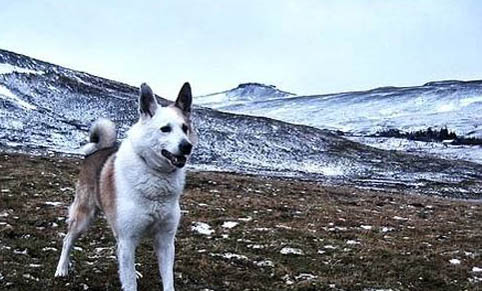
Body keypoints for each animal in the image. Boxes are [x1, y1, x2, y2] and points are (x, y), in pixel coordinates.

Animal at [53, 82, 196, 291]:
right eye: (165, 129)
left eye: (185, 128)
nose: (187, 146)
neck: (155, 175)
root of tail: (97, 150)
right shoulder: (128, 239)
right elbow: (130, 282)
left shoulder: (165, 240)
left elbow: (167, 280)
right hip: (84, 217)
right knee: (67, 240)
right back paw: (62, 269)